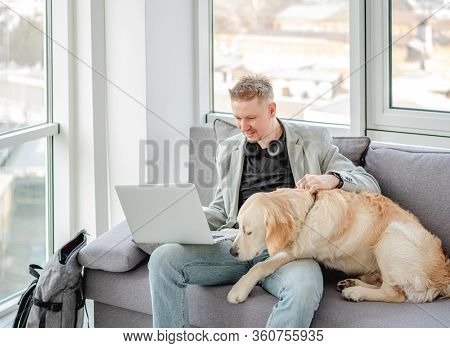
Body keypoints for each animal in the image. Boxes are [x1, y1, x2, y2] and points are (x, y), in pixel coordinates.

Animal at [229, 188, 450, 304]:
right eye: (238, 226)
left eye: (248, 231)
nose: (232, 252)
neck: (308, 211)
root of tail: (444, 275)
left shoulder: (298, 250)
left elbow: (261, 265)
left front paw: (239, 289)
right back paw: (352, 283)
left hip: (390, 237)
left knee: (395, 293)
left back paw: (356, 292)